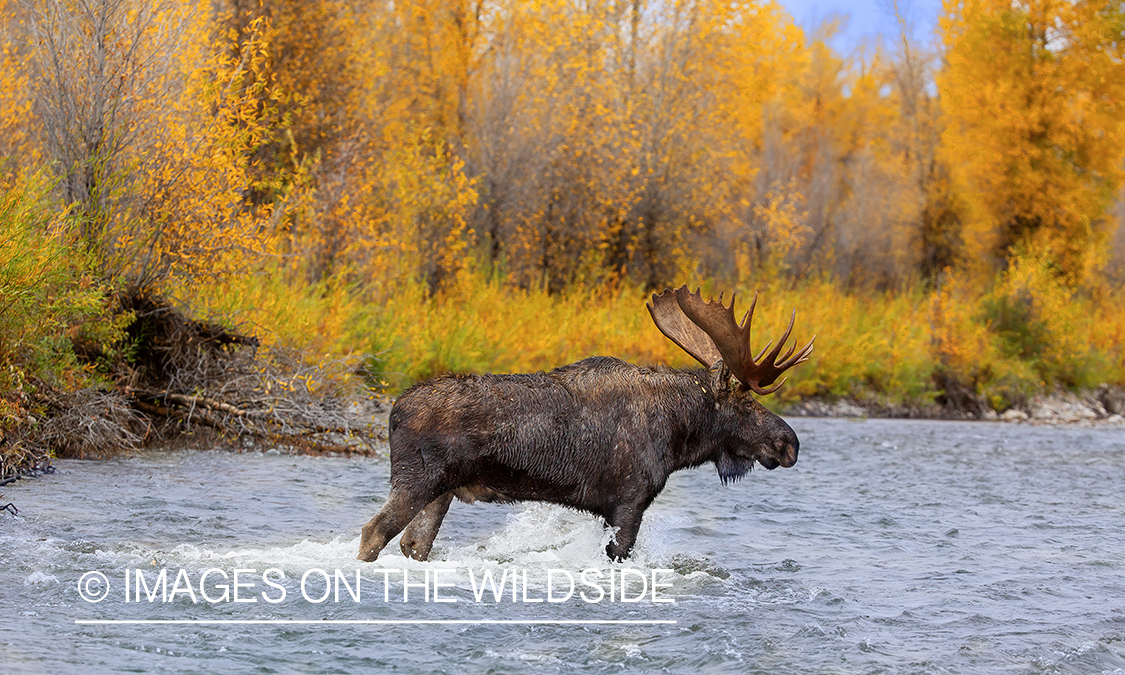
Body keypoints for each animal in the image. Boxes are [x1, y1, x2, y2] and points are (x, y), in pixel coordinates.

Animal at [355, 285, 814, 564]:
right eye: (746, 402)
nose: (789, 443)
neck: (679, 432)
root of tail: (393, 411)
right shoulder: (628, 502)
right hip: (416, 480)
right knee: (373, 532)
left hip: (441, 491)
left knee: (414, 544)